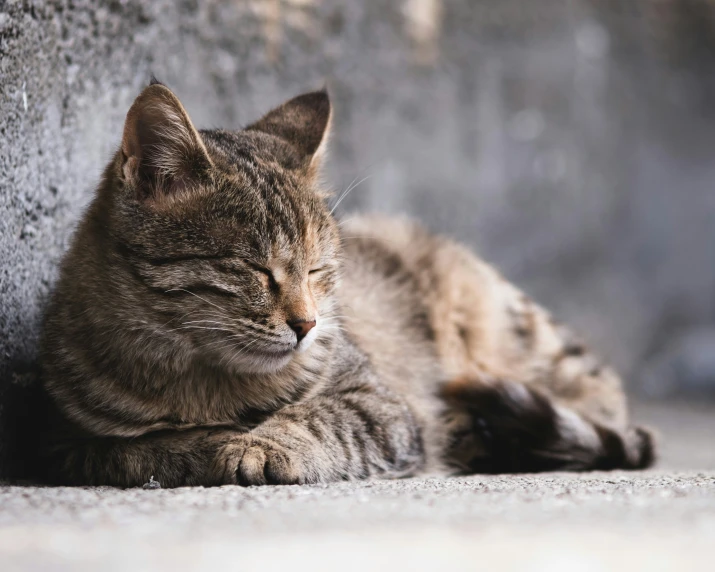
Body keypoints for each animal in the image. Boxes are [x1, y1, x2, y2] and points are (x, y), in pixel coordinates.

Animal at [37, 80, 656, 488]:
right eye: (255, 268)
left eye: (318, 268)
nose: (307, 324)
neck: (205, 381)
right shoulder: (69, 441)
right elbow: (140, 450)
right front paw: (202, 446)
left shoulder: (379, 404)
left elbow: (324, 420)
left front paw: (261, 444)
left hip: (521, 334)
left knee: (601, 407)